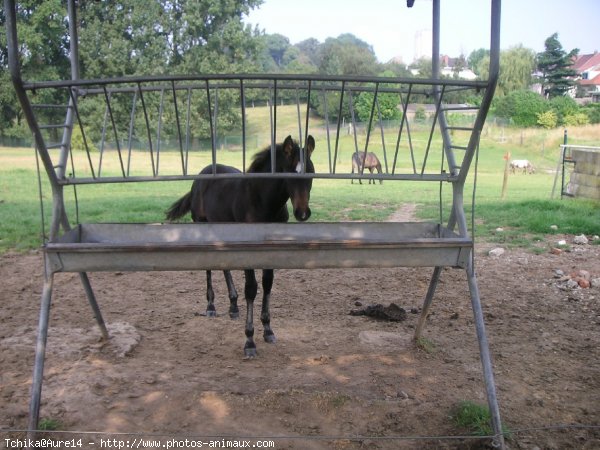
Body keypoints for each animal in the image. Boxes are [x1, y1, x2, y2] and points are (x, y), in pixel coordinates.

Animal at [164, 135, 314, 356]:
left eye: (311, 172)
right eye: (290, 173)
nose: (302, 213)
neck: (261, 201)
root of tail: (201, 176)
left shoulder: (272, 247)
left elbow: (268, 283)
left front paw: (268, 330)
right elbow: (251, 288)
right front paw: (249, 341)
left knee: (224, 265)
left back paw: (233, 306)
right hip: (202, 224)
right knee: (209, 266)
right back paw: (211, 306)